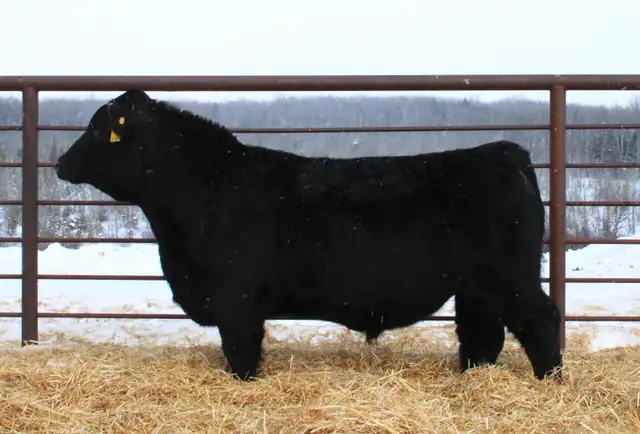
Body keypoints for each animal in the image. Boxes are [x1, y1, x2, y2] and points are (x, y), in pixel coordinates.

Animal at [54, 89, 563, 382]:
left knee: (541, 320)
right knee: (482, 335)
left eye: (97, 130)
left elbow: (241, 352)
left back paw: (551, 382)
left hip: (510, 276)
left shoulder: (236, 299)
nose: (59, 162)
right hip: (476, 286)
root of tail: (505, 151)